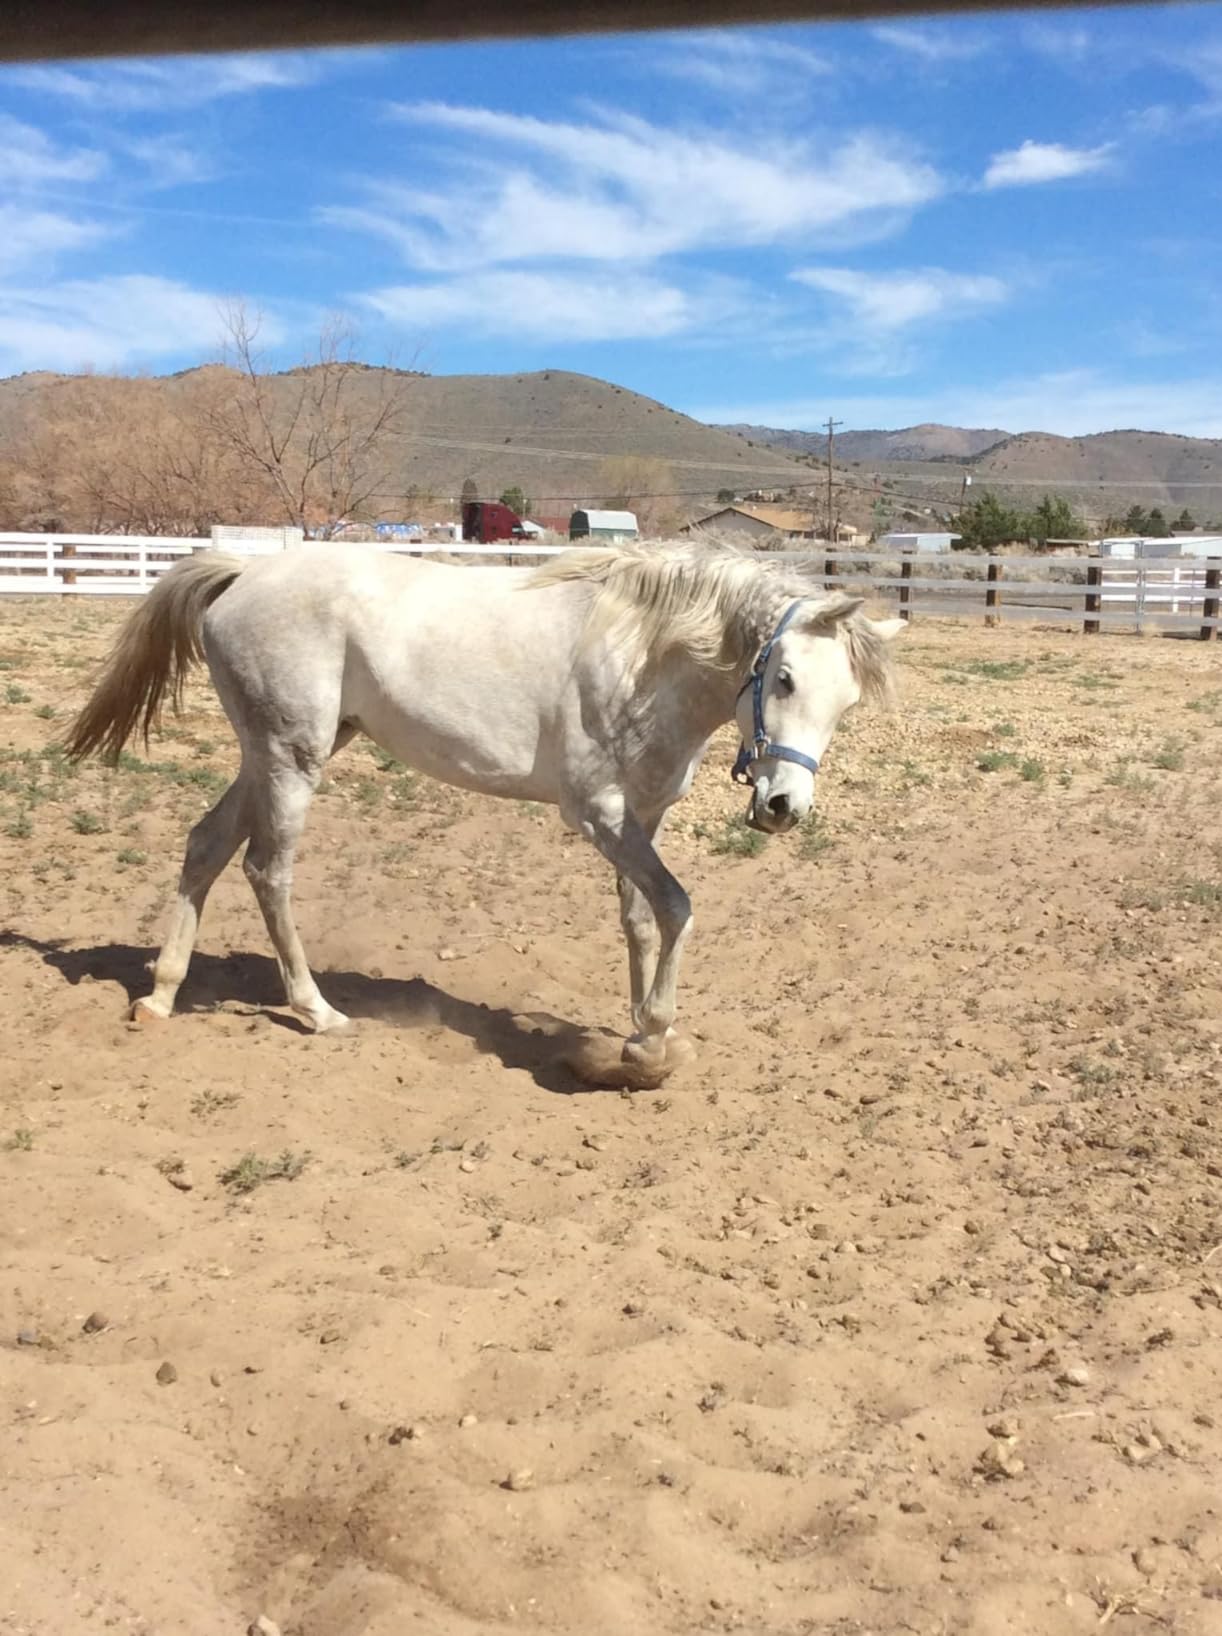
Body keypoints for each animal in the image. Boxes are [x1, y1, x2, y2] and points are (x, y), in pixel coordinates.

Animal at [64, 541, 903, 1084]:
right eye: (784, 678)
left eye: (847, 702)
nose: (783, 806)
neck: (642, 656)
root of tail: (246, 571)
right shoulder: (597, 814)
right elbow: (677, 906)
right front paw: (652, 1043)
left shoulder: (646, 813)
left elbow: (642, 918)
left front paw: (637, 1032)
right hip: (290, 759)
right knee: (267, 872)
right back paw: (317, 1011)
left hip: (272, 755)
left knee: (205, 846)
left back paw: (161, 995)